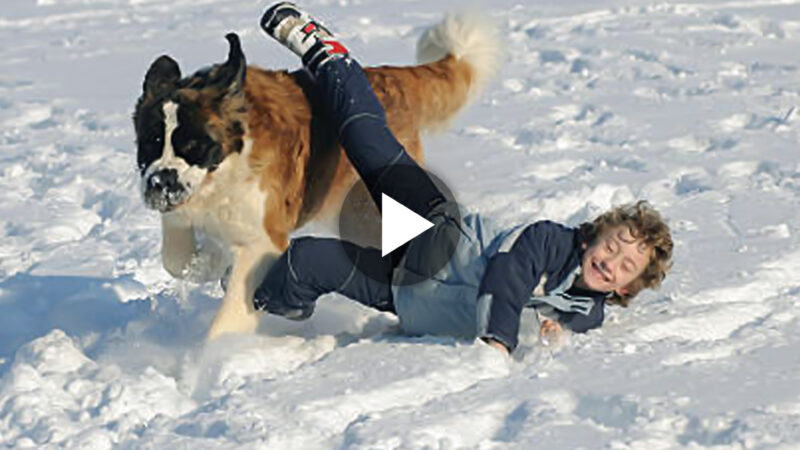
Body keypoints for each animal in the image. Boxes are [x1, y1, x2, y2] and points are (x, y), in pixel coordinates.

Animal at [134, 12, 504, 340]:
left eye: (194, 146)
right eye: (151, 144)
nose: (160, 183)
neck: (225, 170)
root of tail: (380, 77)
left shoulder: (263, 242)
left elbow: (228, 317)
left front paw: (210, 363)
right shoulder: (183, 215)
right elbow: (175, 259)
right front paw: (209, 262)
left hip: (364, 211)